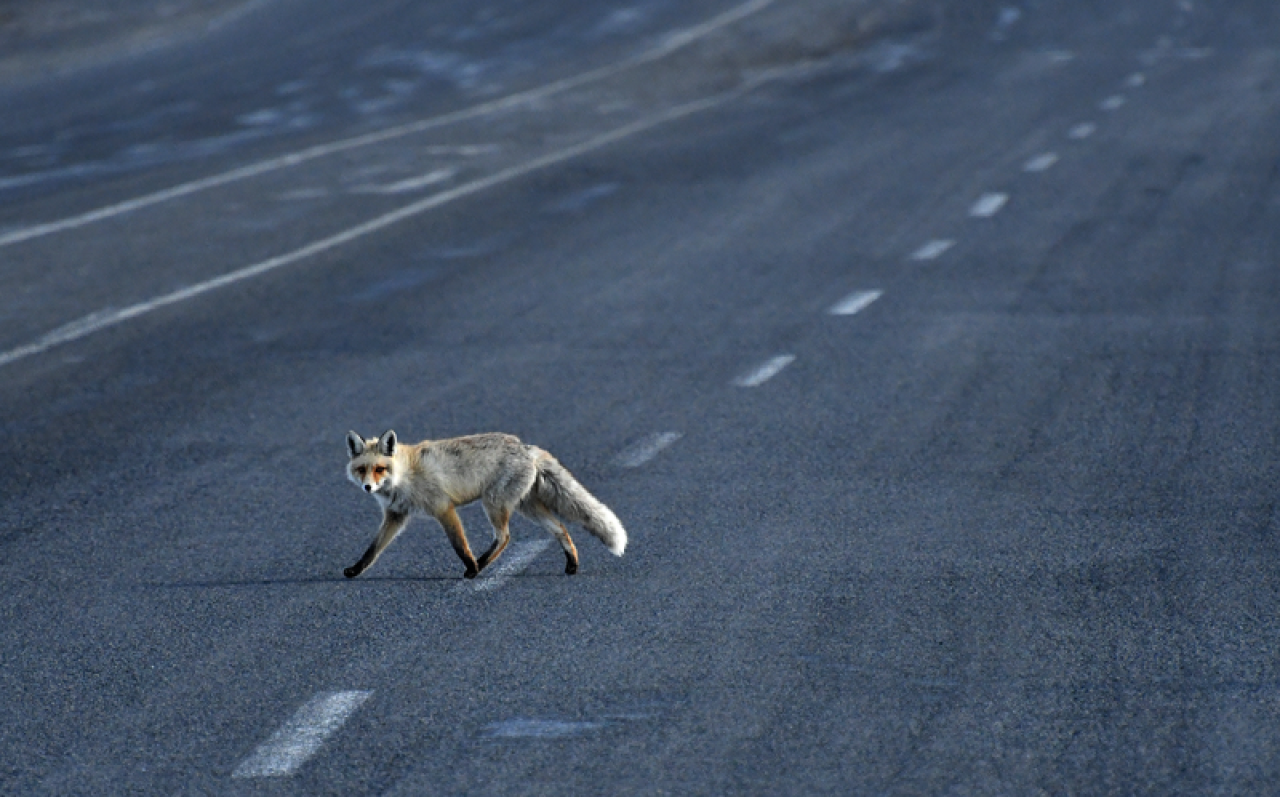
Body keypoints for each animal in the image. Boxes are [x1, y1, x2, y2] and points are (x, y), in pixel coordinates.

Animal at [343, 429, 627, 580]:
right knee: (560, 528)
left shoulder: (443, 508)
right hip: (526, 507)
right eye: (362, 470)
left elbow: (459, 545)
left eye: (380, 469)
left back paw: (479, 565)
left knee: (504, 537)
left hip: (494, 504)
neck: (405, 475)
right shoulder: (395, 515)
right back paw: (571, 564)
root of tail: (525, 446)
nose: (368, 487)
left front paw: (470, 566)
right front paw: (356, 570)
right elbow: (372, 550)